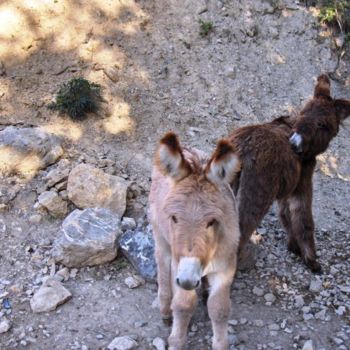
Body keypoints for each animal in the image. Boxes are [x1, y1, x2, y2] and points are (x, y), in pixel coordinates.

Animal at [149, 133, 242, 350]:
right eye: (174, 218)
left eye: (212, 222)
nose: (188, 280)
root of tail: (186, 148)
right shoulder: (179, 264)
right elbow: (183, 305)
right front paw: (176, 341)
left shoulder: (226, 267)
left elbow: (220, 309)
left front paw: (220, 344)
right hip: (161, 238)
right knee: (162, 266)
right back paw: (165, 309)